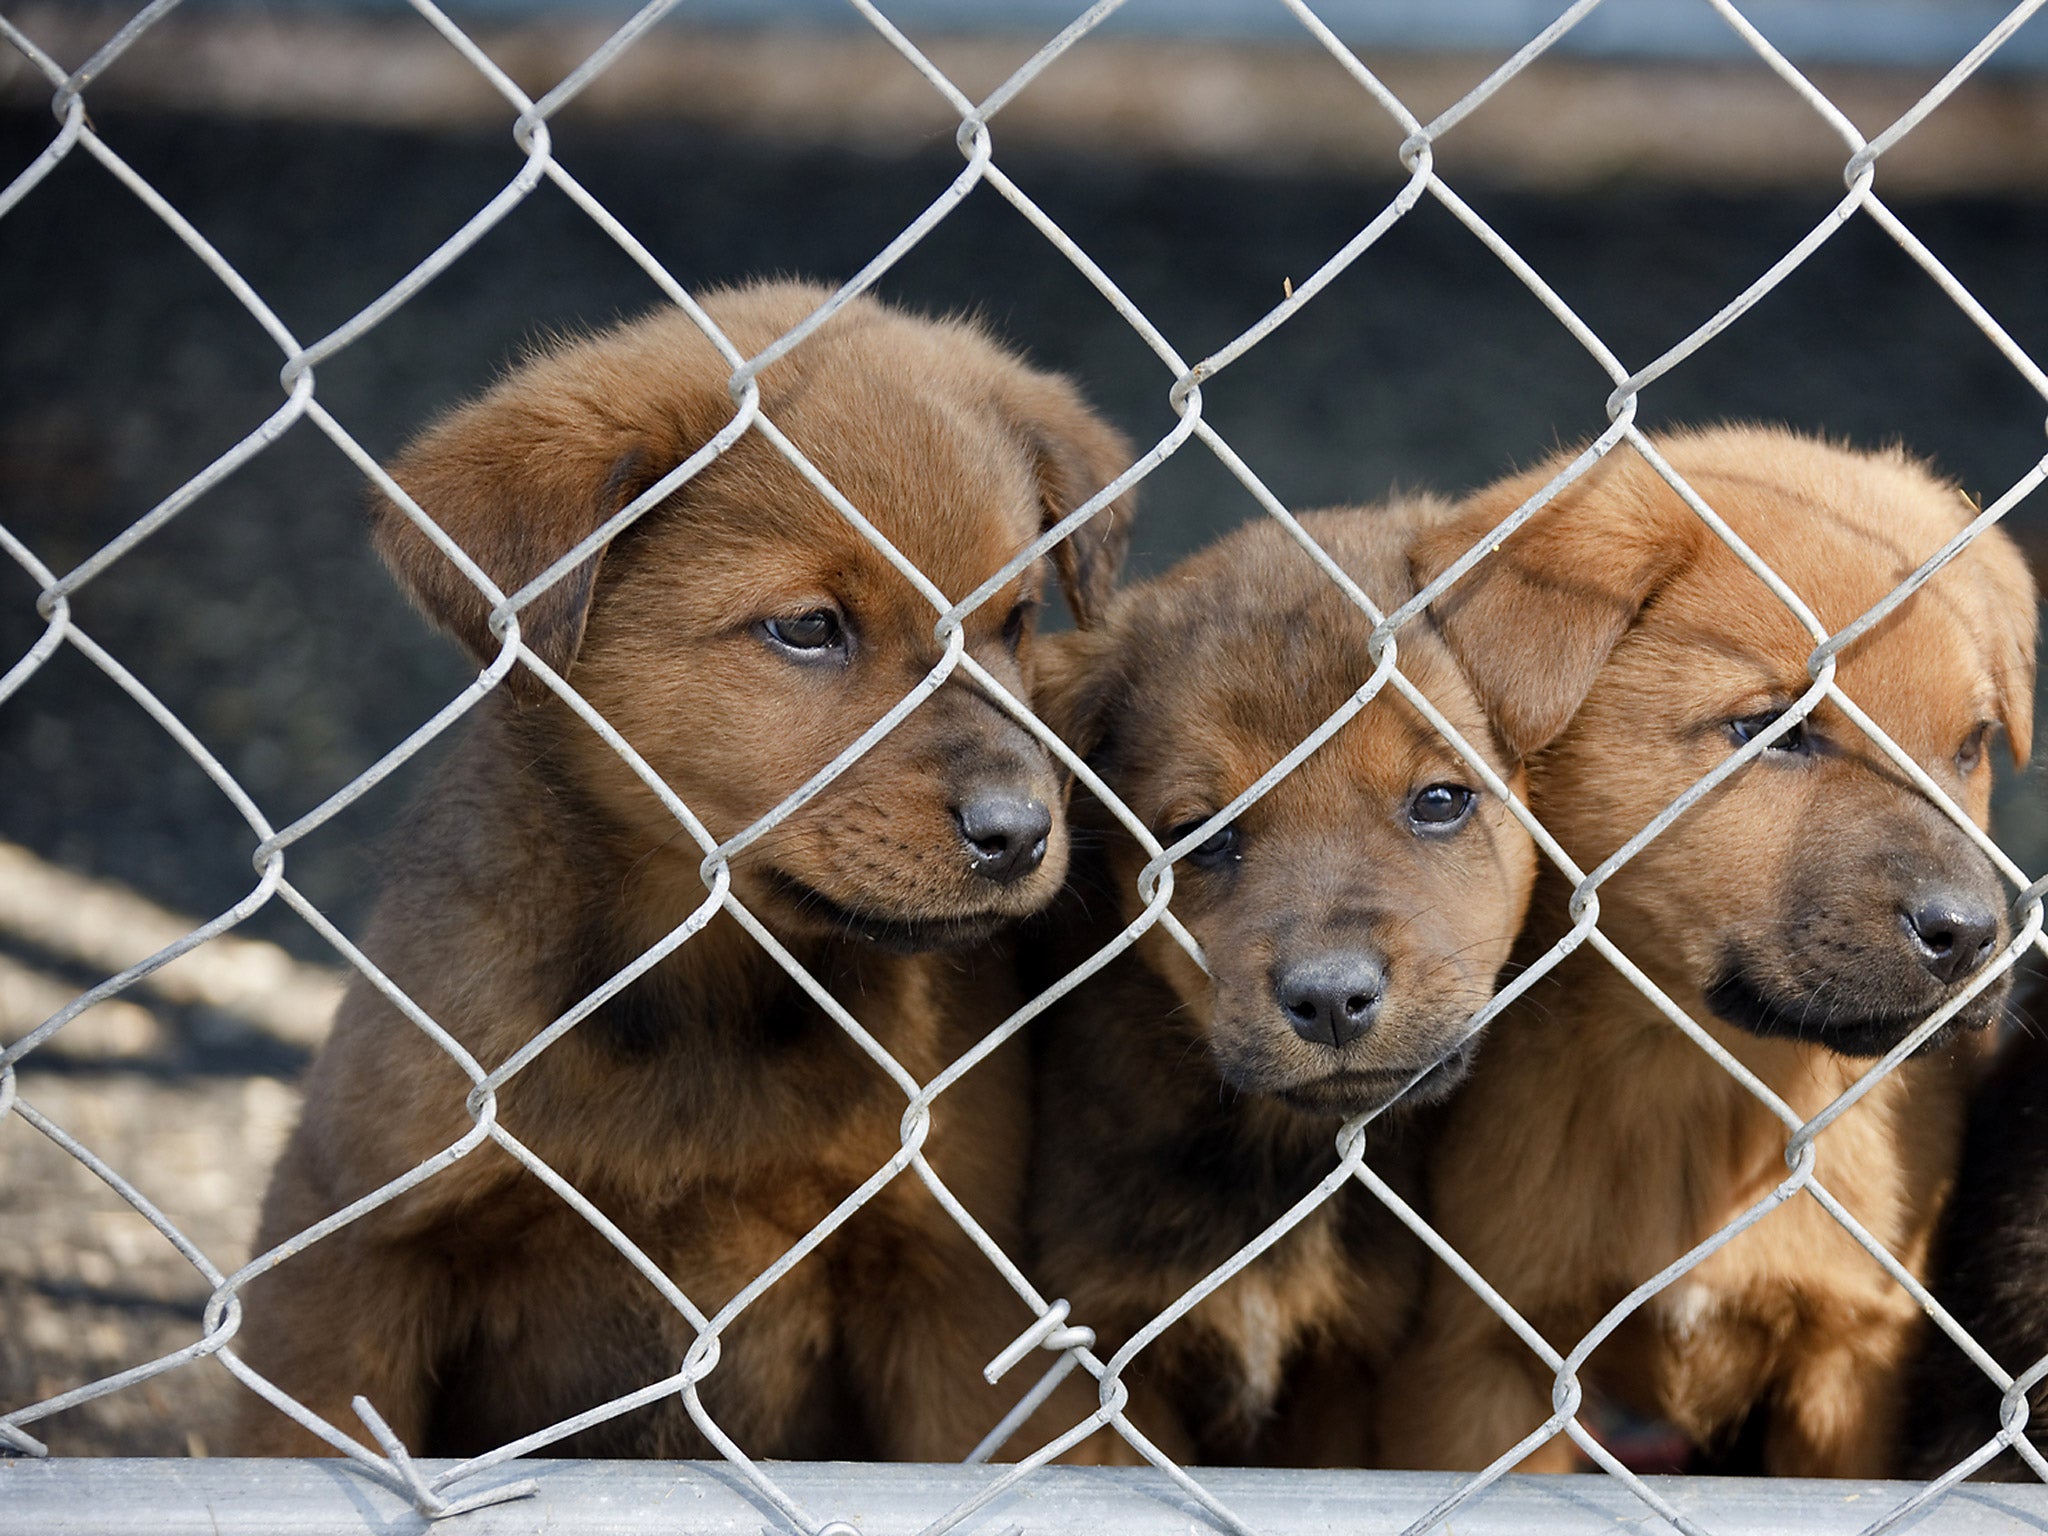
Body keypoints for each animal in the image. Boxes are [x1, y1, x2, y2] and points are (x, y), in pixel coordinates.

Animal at [239, 280, 1138, 1466]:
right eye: (807, 627)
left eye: (1016, 620)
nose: (1022, 831)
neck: (704, 998)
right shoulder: (354, 1243)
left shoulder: (951, 1277)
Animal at [1032, 505, 1540, 1466]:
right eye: (1200, 835)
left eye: (1441, 800)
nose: (1332, 1001)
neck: (1274, 1154)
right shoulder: (1110, 1359)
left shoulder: (1348, 1369)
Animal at [1376, 428, 2031, 1482]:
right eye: (1769, 729)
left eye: (1970, 746)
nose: (1969, 935)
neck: (1702, 1082)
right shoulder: (1478, 1363)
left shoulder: (1852, 1367)